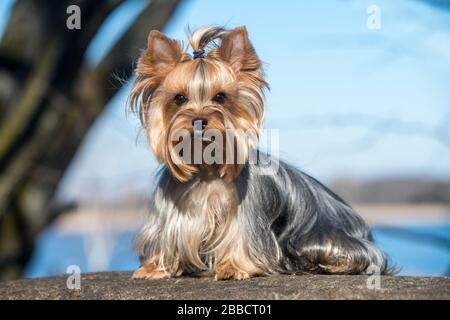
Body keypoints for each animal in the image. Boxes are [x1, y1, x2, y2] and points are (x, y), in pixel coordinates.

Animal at [128, 25, 388, 280]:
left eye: (220, 96)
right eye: (179, 98)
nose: (199, 120)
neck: (206, 167)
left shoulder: (246, 211)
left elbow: (240, 235)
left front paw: (233, 267)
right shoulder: (171, 212)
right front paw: (154, 267)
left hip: (320, 238)